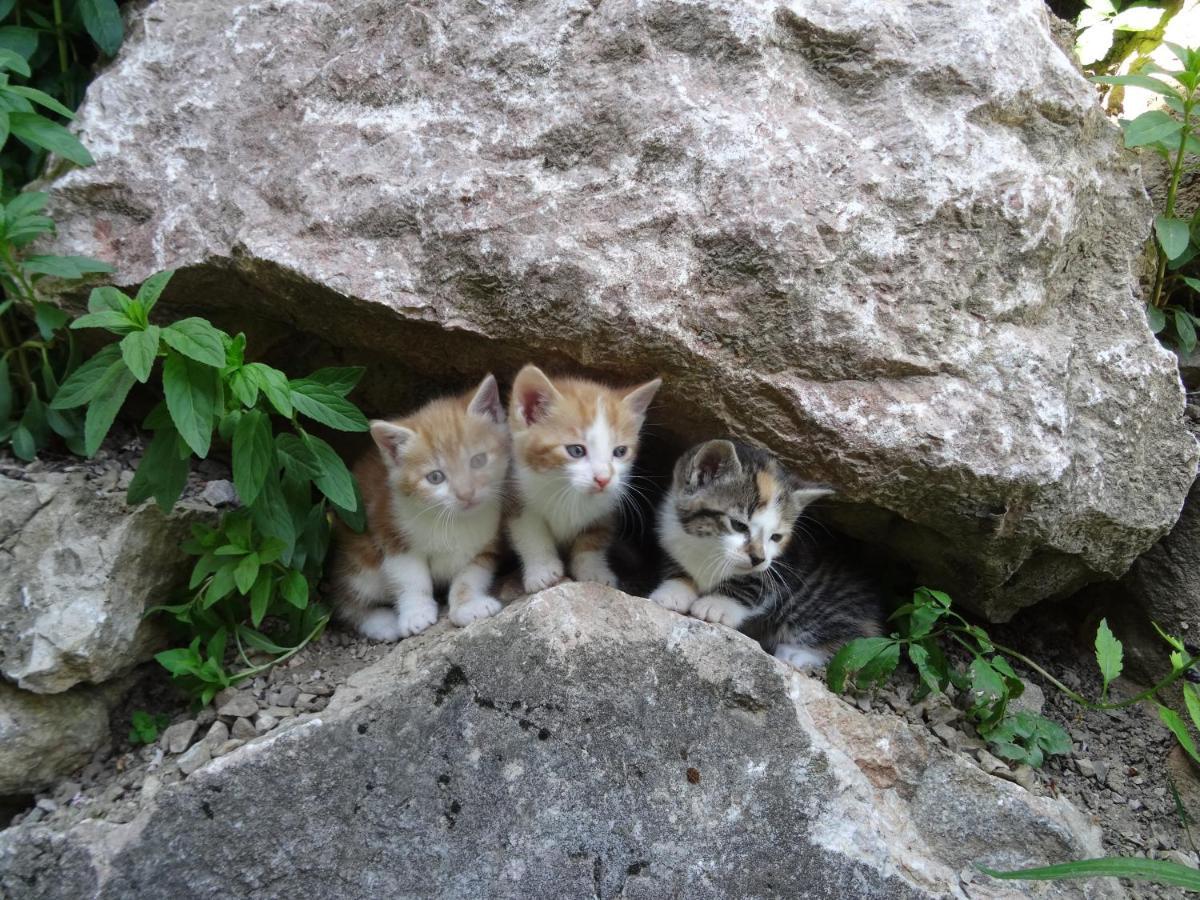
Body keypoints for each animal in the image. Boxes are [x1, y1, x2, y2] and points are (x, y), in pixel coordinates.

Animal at [333, 374, 511, 643]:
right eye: (435, 477)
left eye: (478, 460)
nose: (466, 494)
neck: (455, 521)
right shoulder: (390, 530)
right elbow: (411, 578)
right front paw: (416, 613)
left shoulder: (488, 546)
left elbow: (469, 577)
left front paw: (468, 606)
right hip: (361, 561)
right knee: (345, 601)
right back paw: (383, 623)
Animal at [504, 362, 662, 595]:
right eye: (576, 450)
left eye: (620, 451)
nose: (604, 479)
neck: (568, 492)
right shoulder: (515, 492)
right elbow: (531, 533)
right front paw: (542, 571)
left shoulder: (607, 508)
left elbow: (594, 539)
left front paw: (594, 571)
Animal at [652, 436, 888, 672]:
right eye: (738, 525)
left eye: (775, 537)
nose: (758, 559)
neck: (709, 549)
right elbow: (677, 567)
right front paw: (674, 591)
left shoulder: (788, 564)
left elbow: (754, 584)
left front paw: (716, 605)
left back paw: (798, 654)